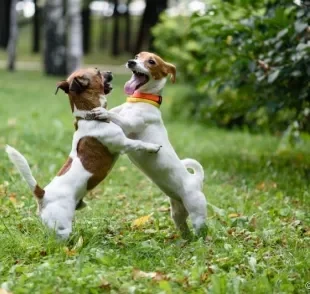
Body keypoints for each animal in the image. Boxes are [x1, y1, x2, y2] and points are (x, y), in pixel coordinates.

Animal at [6, 67, 161, 239]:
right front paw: (153, 147)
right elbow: (138, 143)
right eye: (98, 72)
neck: (89, 117)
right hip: (62, 228)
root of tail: (43, 195)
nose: (109, 71)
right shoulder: (123, 143)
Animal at [78, 52, 207, 237]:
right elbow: (114, 113)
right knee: (184, 229)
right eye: (137, 56)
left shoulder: (129, 125)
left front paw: (103, 112)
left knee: (201, 231)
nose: (131, 62)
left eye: (151, 62)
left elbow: (115, 117)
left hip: (197, 211)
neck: (140, 101)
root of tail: (195, 179)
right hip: (177, 213)